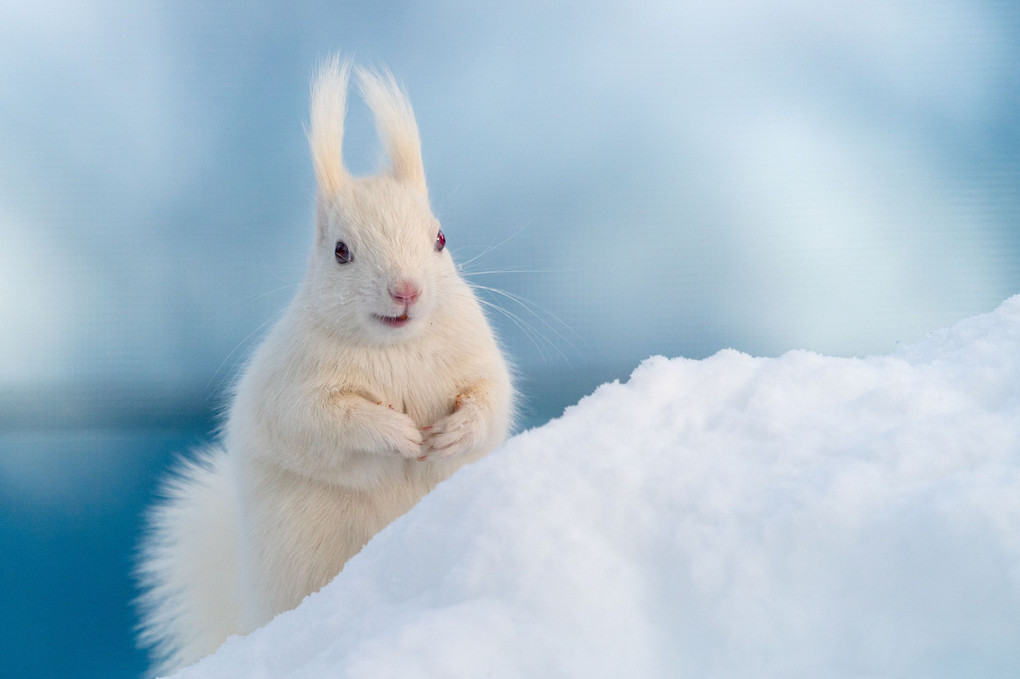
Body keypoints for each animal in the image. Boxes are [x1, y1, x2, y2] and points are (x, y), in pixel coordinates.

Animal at [134, 56, 514, 672]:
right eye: (340, 251)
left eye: (441, 238)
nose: (407, 291)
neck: (395, 347)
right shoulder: (295, 390)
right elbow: (329, 423)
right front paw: (398, 433)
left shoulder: (477, 359)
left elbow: (490, 404)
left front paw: (453, 433)